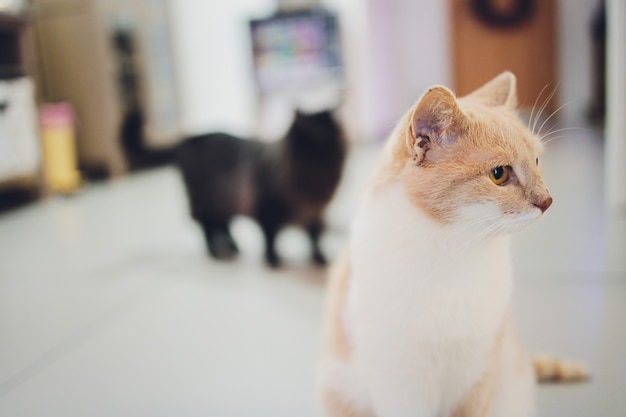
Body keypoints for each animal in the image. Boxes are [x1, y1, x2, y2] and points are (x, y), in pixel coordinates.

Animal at [173, 109, 344, 266]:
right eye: (315, 133)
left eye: (331, 131)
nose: (331, 142)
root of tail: (186, 142)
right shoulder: (266, 210)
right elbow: (270, 238)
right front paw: (272, 259)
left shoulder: (316, 213)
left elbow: (314, 236)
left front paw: (319, 257)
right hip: (206, 203)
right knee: (208, 228)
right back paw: (215, 253)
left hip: (223, 204)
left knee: (222, 226)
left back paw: (234, 247)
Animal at [320, 72, 588, 416]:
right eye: (499, 174)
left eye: (537, 160)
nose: (547, 201)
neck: (453, 250)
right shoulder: (400, 385)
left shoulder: (479, 374)